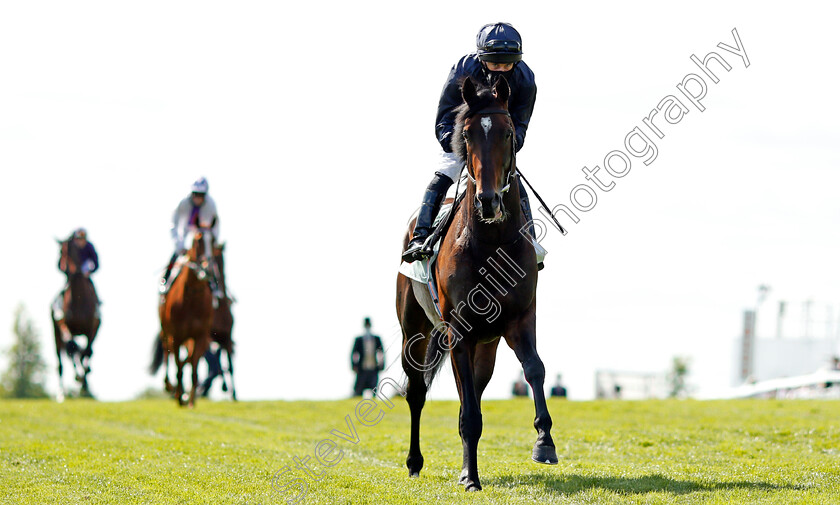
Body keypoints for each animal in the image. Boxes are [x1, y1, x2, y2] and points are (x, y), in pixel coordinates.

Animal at [398, 77, 556, 490]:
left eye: (508, 133)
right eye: (467, 134)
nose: (487, 201)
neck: (489, 243)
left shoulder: (520, 317)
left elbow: (535, 368)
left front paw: (544, 442)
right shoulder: (458, 330)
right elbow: (467, 412)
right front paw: (470, 476)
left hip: (486, 345)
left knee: (473, 389)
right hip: (414, 330)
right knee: (417, 391)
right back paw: (414, 461)